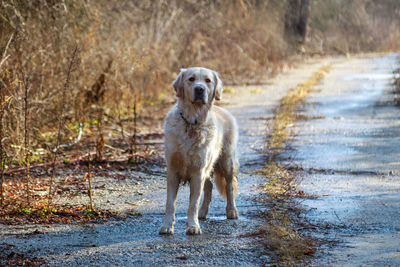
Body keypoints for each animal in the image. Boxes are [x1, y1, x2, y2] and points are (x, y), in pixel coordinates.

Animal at [159, 67, 239, 237]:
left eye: (208, 80)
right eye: (191, 79)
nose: (199, 89)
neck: (191, 123)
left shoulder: (197, 172)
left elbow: (193, 203)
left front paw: (193, 226)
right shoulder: (173, 171)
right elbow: (170, 203)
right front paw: (167, 226)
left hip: (226, 161)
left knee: (229, 186)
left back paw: (231, 211)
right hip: (208, 167)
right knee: (208, 188)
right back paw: (203, 212)